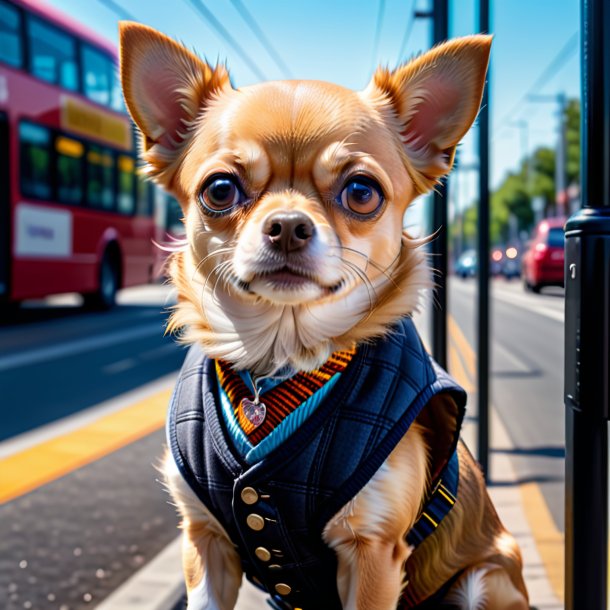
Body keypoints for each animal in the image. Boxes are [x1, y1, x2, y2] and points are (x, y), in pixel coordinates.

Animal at [120, 22, 528, 608]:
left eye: (361, 192)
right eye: (219, 189)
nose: (288, 225)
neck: (276, 362)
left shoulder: (373, 552)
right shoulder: (203, 542)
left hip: (485, 580)